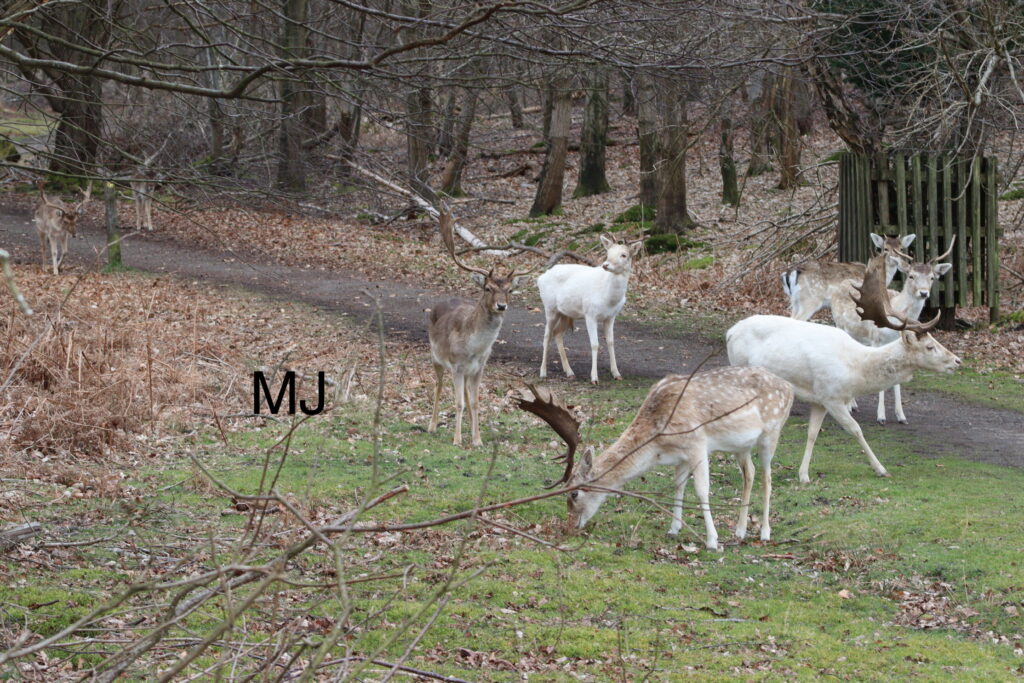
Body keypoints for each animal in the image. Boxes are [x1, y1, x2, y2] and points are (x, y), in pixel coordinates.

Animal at [427, 208, 531, 447]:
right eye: (487, 288)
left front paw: (477, 439)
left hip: (466, 372)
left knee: (465, 395)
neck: (473, 348)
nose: (501, 305)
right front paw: (457, 440)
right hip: (436, 358)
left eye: (510, 290)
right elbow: (458, 402)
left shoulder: (479, 367)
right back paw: (432, 425)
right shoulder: (456, 366)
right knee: (437, 386)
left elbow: (474, 402)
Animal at [516, 366, 794, 550]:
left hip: (772, 432)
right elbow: (678, 486)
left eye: (574, 493)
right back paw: (740, 530)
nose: (569, 526)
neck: (658, 442)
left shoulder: (697, 443)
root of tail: (790, 387)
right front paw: (674, 529)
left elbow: (701, 490)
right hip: (740, 446)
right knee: (750, 473)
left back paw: (765, 533)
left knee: (767, 477)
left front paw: (712, 541)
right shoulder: (680, 456)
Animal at [538, 235, 637, 384]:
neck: (609, 299)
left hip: (565, 313)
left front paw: (617, 374)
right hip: (550, 308)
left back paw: (569, 372)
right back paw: (543, 372)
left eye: (624, 255)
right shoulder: (590, 314)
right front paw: (594, 378)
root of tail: (540, 278)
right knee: (546, 336)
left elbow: (611, 342)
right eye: (608, 253)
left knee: (558, 334)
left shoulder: (611, 316)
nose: (606, 265)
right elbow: (595, 344)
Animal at [781, 233, 916, 321]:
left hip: (795, 301)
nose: (896, 259)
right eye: (885, 248)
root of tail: (790, 273)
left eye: (901, 248)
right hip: (810, 300)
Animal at [830, 238, 955, 425]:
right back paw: (850, 405)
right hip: (839, 324)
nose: (923, 293)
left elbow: (896, 381)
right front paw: (881, 416)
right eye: (911, 276)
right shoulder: (876, 340)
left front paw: (901, 415)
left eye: (932, 277)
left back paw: (853, 403)